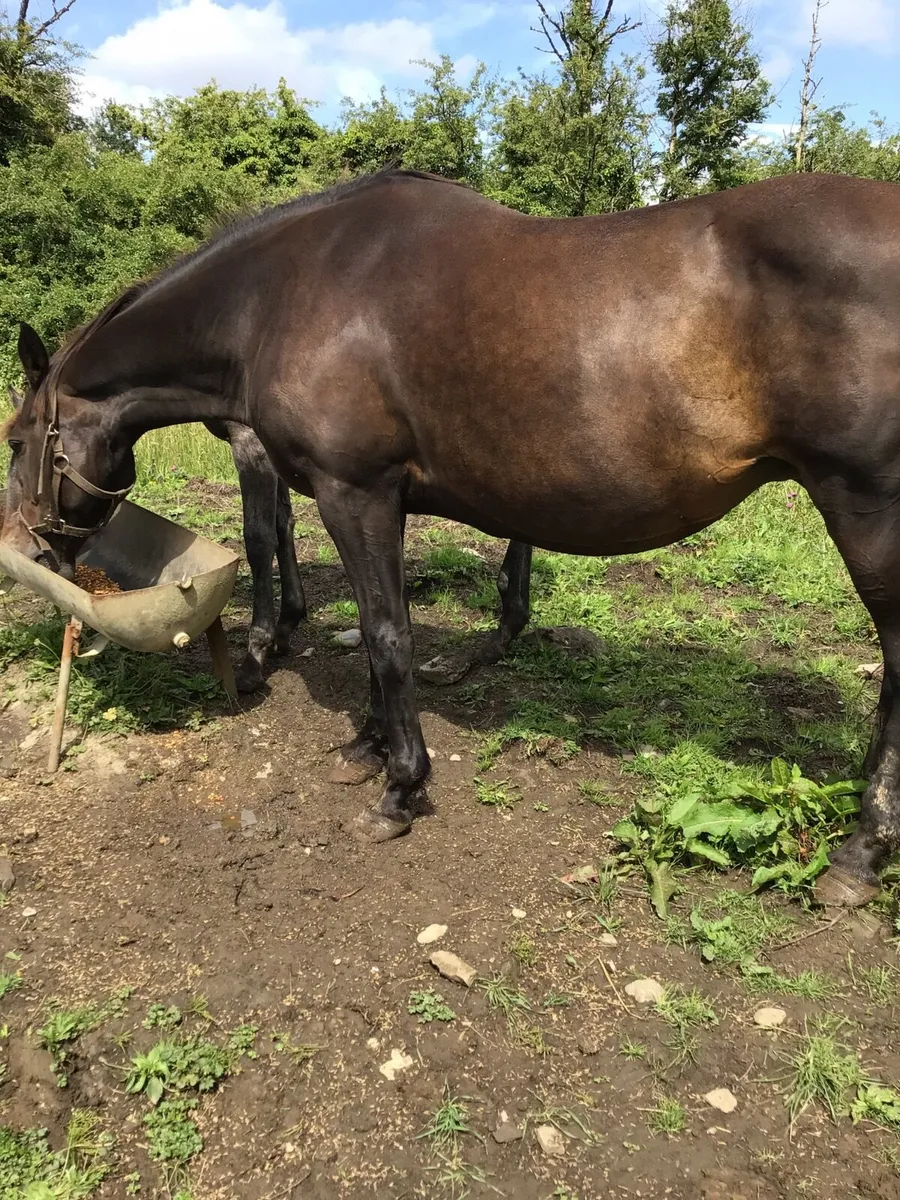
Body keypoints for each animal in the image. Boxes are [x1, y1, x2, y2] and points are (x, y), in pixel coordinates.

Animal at [3, 166, 899, 907]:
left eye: (15, 440)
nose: (36, 549)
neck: (281, 295)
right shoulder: (375, 500)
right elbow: (378, 627)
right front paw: (365, 746)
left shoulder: (354, 492)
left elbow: (383, 630)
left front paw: (399, 788)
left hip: (867, 510)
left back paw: (860, 855)